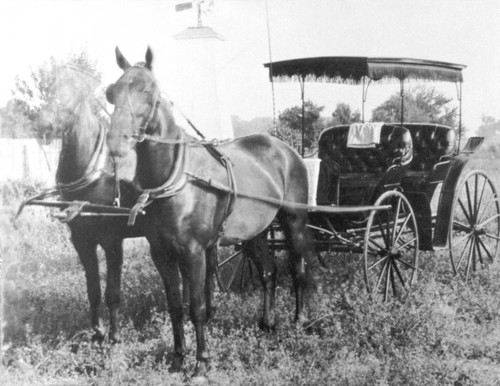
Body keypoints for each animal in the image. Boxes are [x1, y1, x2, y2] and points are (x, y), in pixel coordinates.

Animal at [106, 46, 314, 376]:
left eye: (147, 90)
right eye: (111, 92)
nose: (116, 143)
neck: (177, 177)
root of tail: (285, 149)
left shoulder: (194, 252)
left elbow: (197, 307)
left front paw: (201, 363)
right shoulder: (161, 254)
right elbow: (175, 307)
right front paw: (178, 358)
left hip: (294, 221)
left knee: (297, 270)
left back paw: (299, 321)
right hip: (255, 232)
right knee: (268, 271)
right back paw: (268, 323)